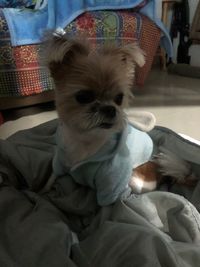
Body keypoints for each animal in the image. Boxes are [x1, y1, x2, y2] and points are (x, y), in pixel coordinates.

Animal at [43, 29, 197, 205]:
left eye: (119, 98)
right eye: (83, 97)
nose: (110, 109)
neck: (85, 141)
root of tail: (158, 168)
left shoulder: (112, 186)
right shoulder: (59, 161)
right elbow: (50, 179)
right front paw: (41, 191)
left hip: (136, 180)